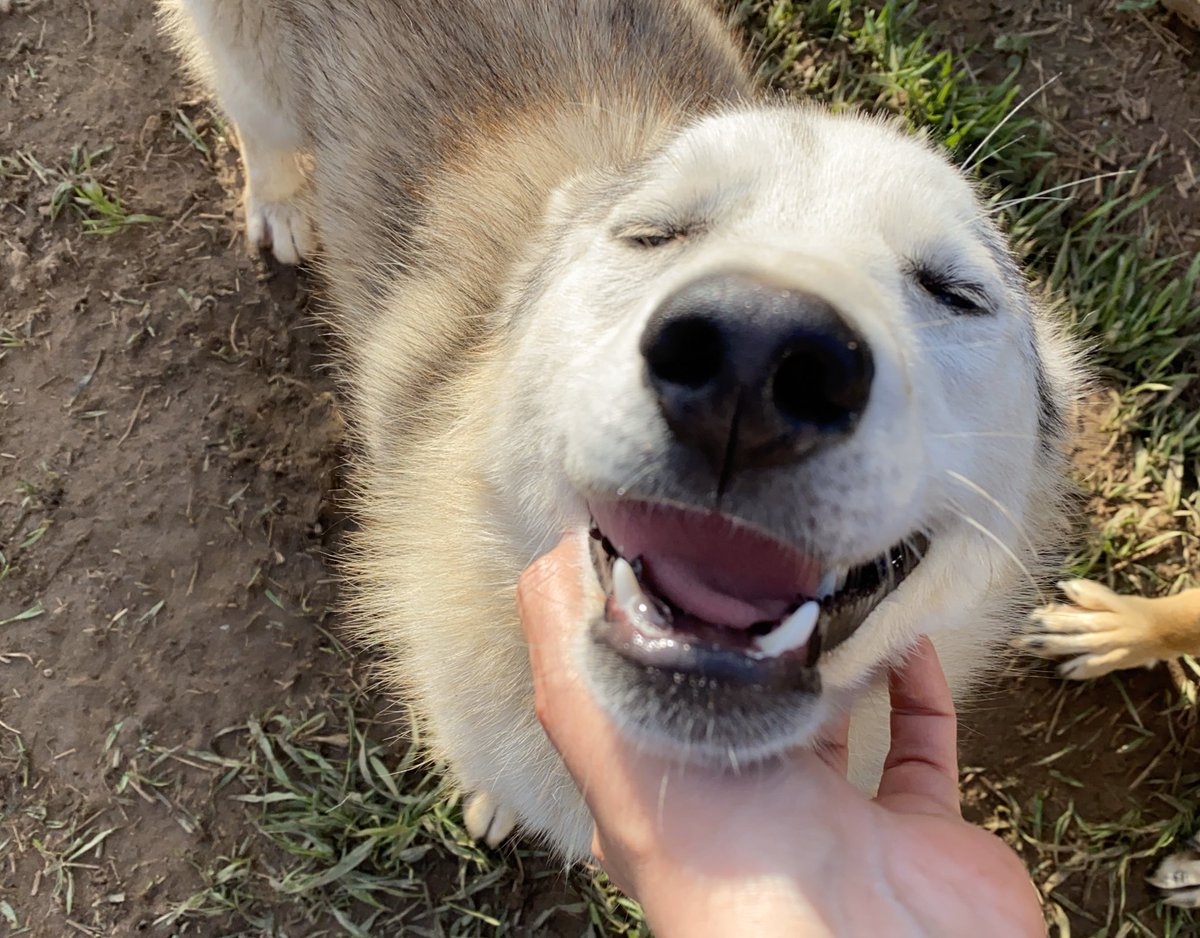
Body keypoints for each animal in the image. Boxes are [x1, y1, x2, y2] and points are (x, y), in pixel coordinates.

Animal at [159, 0, 1089, 863]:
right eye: (653, 232)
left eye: (955, 292)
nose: (754, 357)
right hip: (250, 67)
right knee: (257, 127)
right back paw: (280, 205)